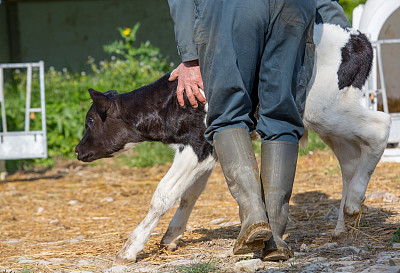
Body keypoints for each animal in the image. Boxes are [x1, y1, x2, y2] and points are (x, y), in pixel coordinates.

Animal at [75, 23, 390, 264]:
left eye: (90, 120)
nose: (78, 150)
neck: (170, 102)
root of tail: (356, 37)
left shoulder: (197, 145)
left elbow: (164, 193)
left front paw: (130, 249)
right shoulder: (209, 150)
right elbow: (189, 194)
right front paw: (171, 237)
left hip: (326, 110)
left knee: (380, 125)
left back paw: (353, 202)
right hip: (329, 120)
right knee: (349, 160)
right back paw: (343, 223)